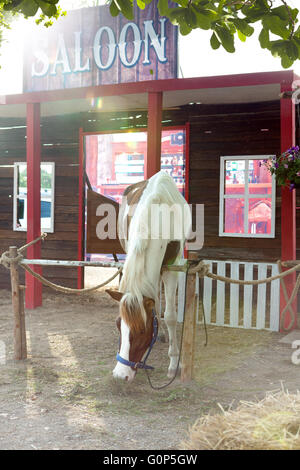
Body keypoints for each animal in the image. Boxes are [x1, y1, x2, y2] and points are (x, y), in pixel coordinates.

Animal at [106, 172, 191, 382]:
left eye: (142, 331)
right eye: (118, 324)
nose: (120, 375)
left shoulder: (172, 268)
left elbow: (170, 316)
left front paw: (173, 363)